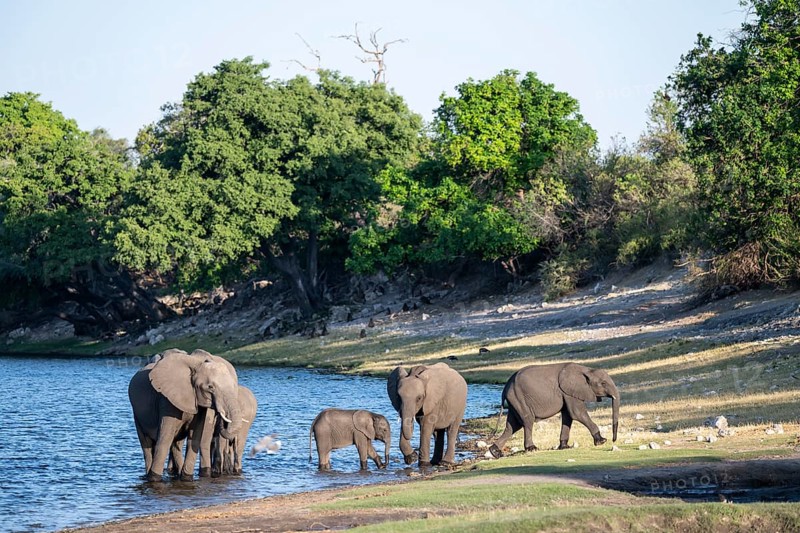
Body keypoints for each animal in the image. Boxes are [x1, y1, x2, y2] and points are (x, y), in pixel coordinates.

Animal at [128, 348, 242, 481]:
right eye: (210, 387)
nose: (222, 418)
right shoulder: (166, 400)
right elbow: (165, 438)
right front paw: (155, 479)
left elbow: (195, 437)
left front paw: (187, 478)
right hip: (137, 414)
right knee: (146, 444)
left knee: (176, 442)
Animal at [489, 362, 619, 458]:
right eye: (603, 383)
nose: (614, 440)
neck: (586, 370)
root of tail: (505, 387)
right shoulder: (569, 391)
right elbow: (577, 413)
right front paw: (602, 441)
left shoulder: (567, 392)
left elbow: (568, 416)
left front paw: (564, 447)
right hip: (519, 397)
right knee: (527, 420)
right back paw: (532, 449)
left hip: (515, 401)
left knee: (513, 425)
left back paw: (495, 452)